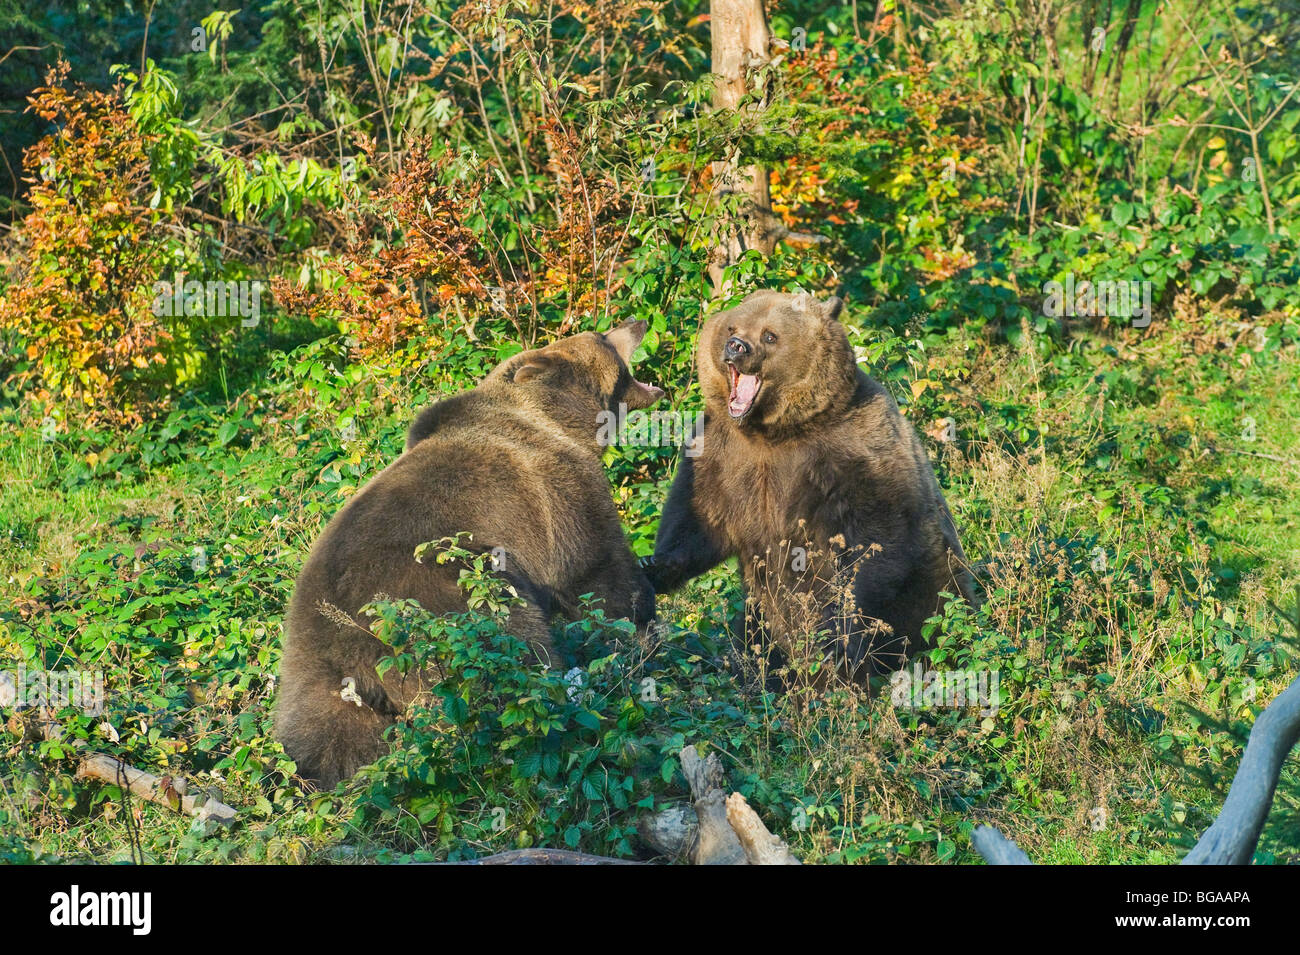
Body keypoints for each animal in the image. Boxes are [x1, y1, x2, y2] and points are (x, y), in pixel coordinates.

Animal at [274, 320, 660, 784]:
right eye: (601, 338)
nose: (635, 323)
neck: (558, 422)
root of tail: (344, 654)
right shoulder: (555, 491)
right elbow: (598, 570)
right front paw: (645, 627)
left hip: (310, 682)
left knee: (325, 737)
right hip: (448, 597)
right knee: (511, 642)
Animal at [644, 289, 972, 680]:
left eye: (770, 335)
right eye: (732, 327)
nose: (735, 347)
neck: (771, 431)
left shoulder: (850, 454)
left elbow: (875, 539)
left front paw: (835, 636)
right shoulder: (722, 451)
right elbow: (698, 517)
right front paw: (654, 564)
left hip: (934, 587)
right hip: (759, 605)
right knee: (755, 634)